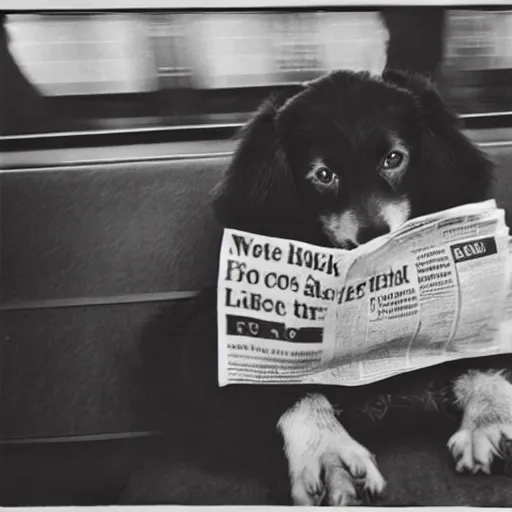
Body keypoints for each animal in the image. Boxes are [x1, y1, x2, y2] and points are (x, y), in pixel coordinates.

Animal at [163, 70, 512, 506]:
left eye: (393, 158)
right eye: (324, 175)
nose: (375, 240)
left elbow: (476, 355)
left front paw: (493, 416)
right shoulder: (204, 352)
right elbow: (290, 391)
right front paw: (327, 451)